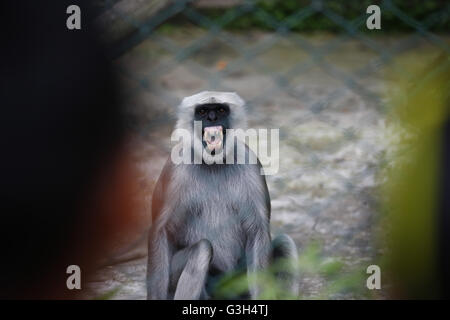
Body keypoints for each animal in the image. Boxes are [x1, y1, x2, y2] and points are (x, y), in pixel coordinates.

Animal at [146, 90, 298, 300]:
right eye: (202, 111)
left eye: (220, 110)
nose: (212, 118)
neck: (214, 164)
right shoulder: (176, 168)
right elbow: (161, 231)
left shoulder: (250, 164)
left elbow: (258, 230)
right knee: (202, 249)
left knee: (284, 242)